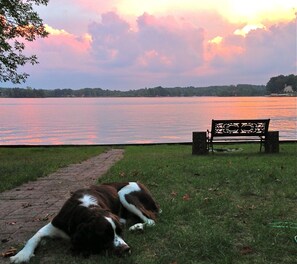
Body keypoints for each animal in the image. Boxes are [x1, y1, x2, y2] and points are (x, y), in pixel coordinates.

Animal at [9, 182, 160, 262]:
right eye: (104, 235)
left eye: (120, 232)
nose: (126, 249)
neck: (88, 209)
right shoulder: (54, 224)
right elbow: (33, 238)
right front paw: (21, 255)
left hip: (124, 193)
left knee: (151, 219)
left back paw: (137, 226)